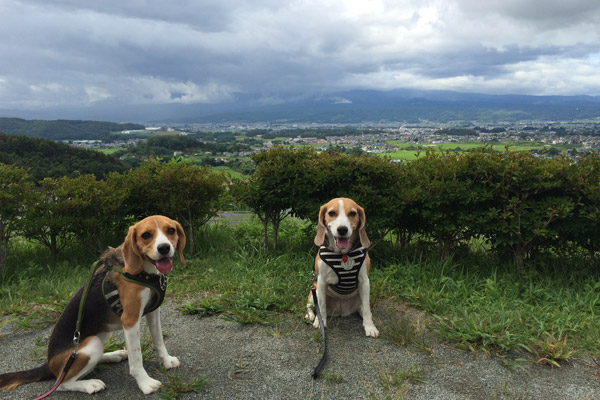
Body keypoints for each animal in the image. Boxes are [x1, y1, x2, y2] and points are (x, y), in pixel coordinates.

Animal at [0, 216, 185, 394]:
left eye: (171, 230)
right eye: (146, 235)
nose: (164, 248)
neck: (144, 271)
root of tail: (49, 365)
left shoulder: (153, 312)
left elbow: (158, 339)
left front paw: (166, 361)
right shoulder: (130, 319)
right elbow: (136, 357)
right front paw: (145, 383)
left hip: (101, 334)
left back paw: (113, 355)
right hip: (91, 344)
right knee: (61, 383)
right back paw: (89, 384)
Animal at [304, 197, 380, 338]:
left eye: (353, 213)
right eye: (332, 213)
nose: (342, 229)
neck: (342, 254)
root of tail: (341, 310)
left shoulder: (364, 281)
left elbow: (367, 308)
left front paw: (370, 327)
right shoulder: (321, 281)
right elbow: (321, 305)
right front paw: (320, 322)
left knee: (363, 308)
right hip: (314, 290)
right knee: (311, 306)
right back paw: (311, 315)